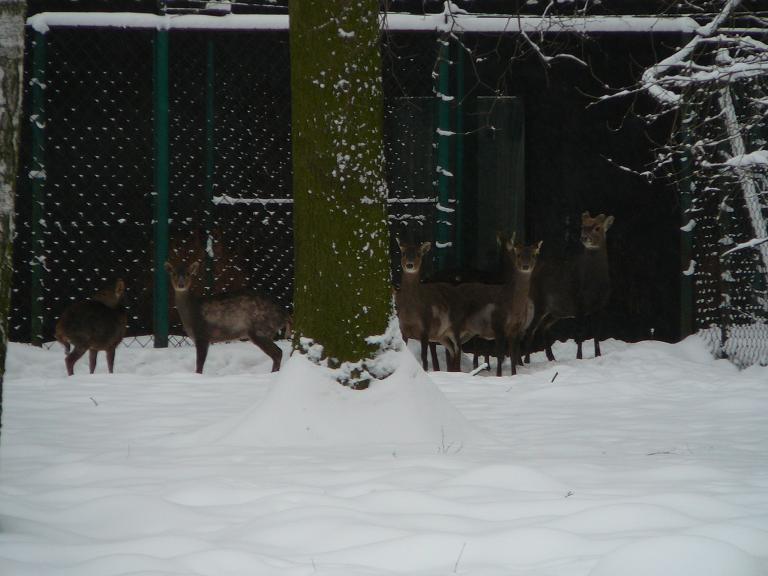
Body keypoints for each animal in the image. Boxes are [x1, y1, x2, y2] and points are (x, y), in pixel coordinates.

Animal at [395, 240, 461, 371]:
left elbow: (424, 357)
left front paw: (425, 371)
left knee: (458, 349)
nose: (410, 265)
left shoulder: (425, 328)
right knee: (452, 350)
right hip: (441, 335)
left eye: (419, 254)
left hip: (457, 326)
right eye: (403, 253)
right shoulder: (403, 329)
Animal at [525, 211, 615, 363]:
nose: (584, 238)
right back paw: (525, 361)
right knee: (530, 329)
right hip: (538, 302)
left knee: (543, 327)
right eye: (583, 227)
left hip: (555, 311)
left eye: (597, 228)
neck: (594, 283)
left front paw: (598, 355)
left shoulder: (600, 305)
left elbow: (597, 333)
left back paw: (551, 358)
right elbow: (579, 333)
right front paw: (579, 357)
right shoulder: (578, 301)